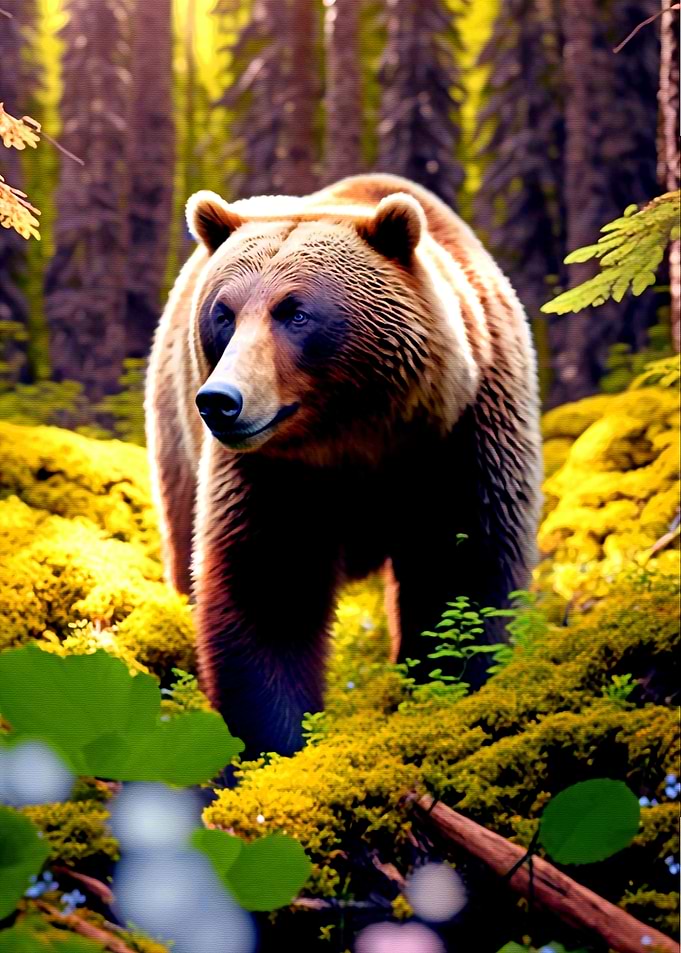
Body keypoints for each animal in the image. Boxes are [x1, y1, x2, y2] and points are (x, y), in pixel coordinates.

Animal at [145, 173, 542, 761]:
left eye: (295, 312)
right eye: (224, 313)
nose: (221, 401)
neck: (358, 434)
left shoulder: (462, 439)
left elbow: (462, 574)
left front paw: (447, 697)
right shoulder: (273, 473)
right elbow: (267, 589)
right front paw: (277, 744)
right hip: (176, 433)